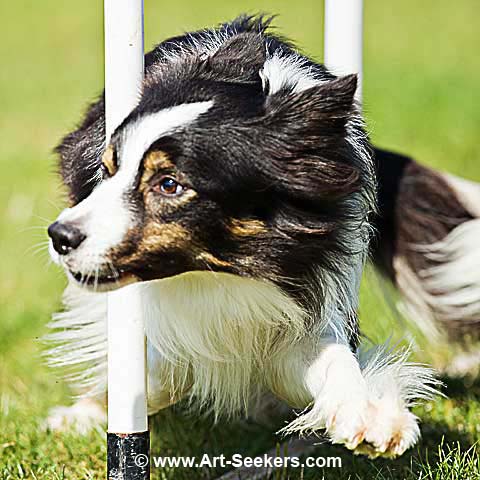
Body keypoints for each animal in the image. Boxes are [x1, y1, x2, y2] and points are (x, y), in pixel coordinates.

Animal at [47, 15, 446, 458]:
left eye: (169, 184)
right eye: (108, 170)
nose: (60, 236)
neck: (222, 267)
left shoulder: (302, 302)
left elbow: (333, 360)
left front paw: (373, 416)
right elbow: (158, 367)